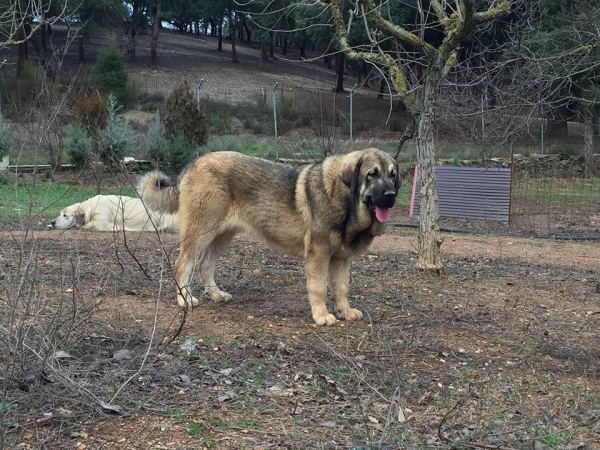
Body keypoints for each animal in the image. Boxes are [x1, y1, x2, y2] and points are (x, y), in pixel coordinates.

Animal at [48, 195, 179, 232]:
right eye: (60, 213)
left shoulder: (100, 221)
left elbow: (86, 225)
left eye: (65, 215)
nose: (53, 222)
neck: (91, 207)